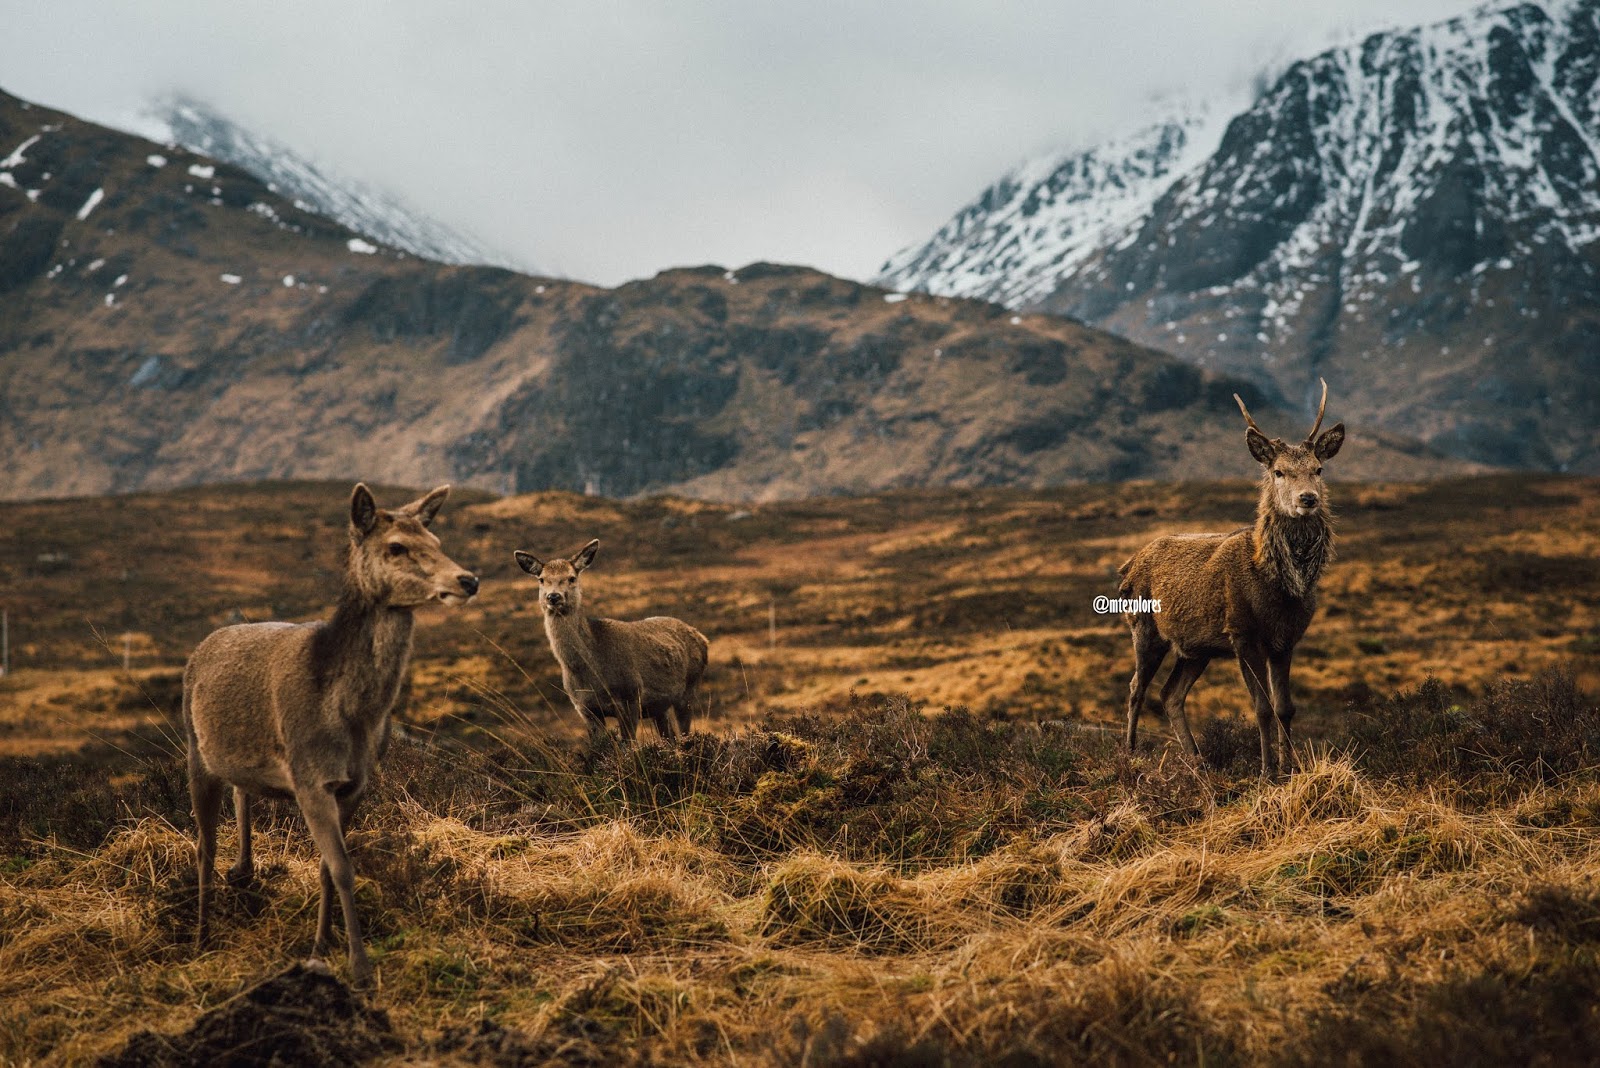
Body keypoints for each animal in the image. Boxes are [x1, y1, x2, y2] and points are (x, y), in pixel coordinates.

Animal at [182, 483, 478, 988]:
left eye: (436, 541)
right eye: (395, 547)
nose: (468, 580)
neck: (350, 713)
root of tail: (202, 647)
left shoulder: (356, 784)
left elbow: (325, 868)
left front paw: (322, 946)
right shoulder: (309, 777)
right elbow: (342, 868)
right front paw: (359, 967)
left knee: (242, 794)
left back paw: (244, 870)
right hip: (194, 753)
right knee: (204, 845)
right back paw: (203, 936)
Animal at [514, 539, 708, 741]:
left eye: (572, 578)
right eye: (541, 579)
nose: (553, 597)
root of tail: (704, 639)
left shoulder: (630, 696)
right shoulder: (585, 708)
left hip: (688, 690)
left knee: (684, 732)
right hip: (659, 707)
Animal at [1118, 380, 1344, 778]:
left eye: (1318, 469)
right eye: (1279, 471)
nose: (1308, 499)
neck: (1278, 589)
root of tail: (1128, 566)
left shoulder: (1285, 640)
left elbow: (1286, 707)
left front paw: (1291, 768)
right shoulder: (1242, 633)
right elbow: (1262, 708)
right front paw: (1268, 772)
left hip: (1197, 647)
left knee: (1170, 694)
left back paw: (1198, 761)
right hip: (1144, 628)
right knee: (1135, 688)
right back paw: (1130, 755)